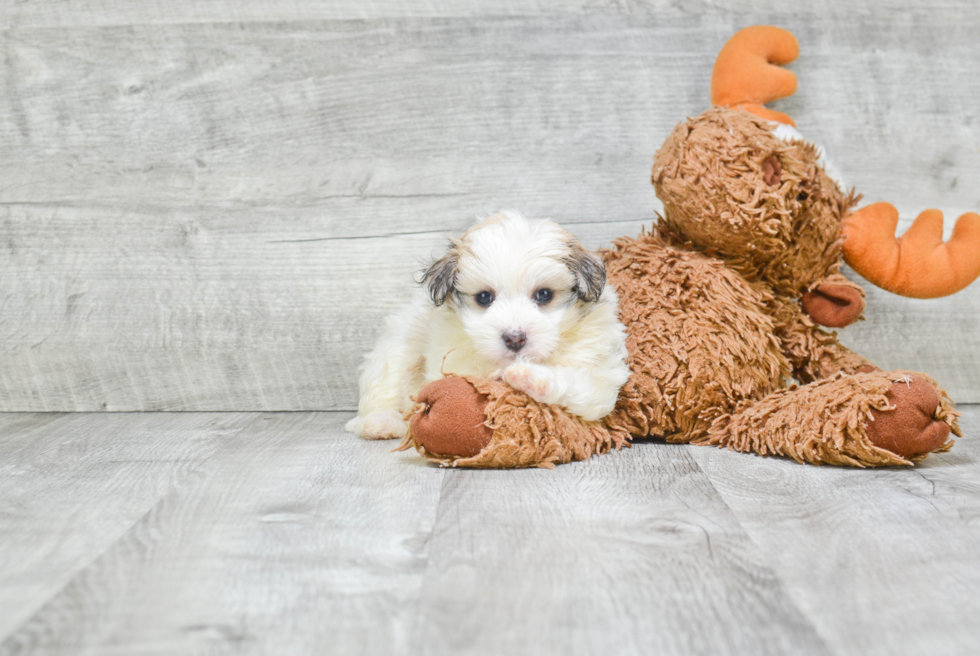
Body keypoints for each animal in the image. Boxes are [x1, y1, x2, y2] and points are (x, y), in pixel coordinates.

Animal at [344, 210, 632, 440]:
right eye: (484, 297)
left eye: (544, 295)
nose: (514, 338)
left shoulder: (600, 372)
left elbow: (582, 388)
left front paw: (531, 378)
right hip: (399, 344)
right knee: (384, 388)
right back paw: (380, 423)